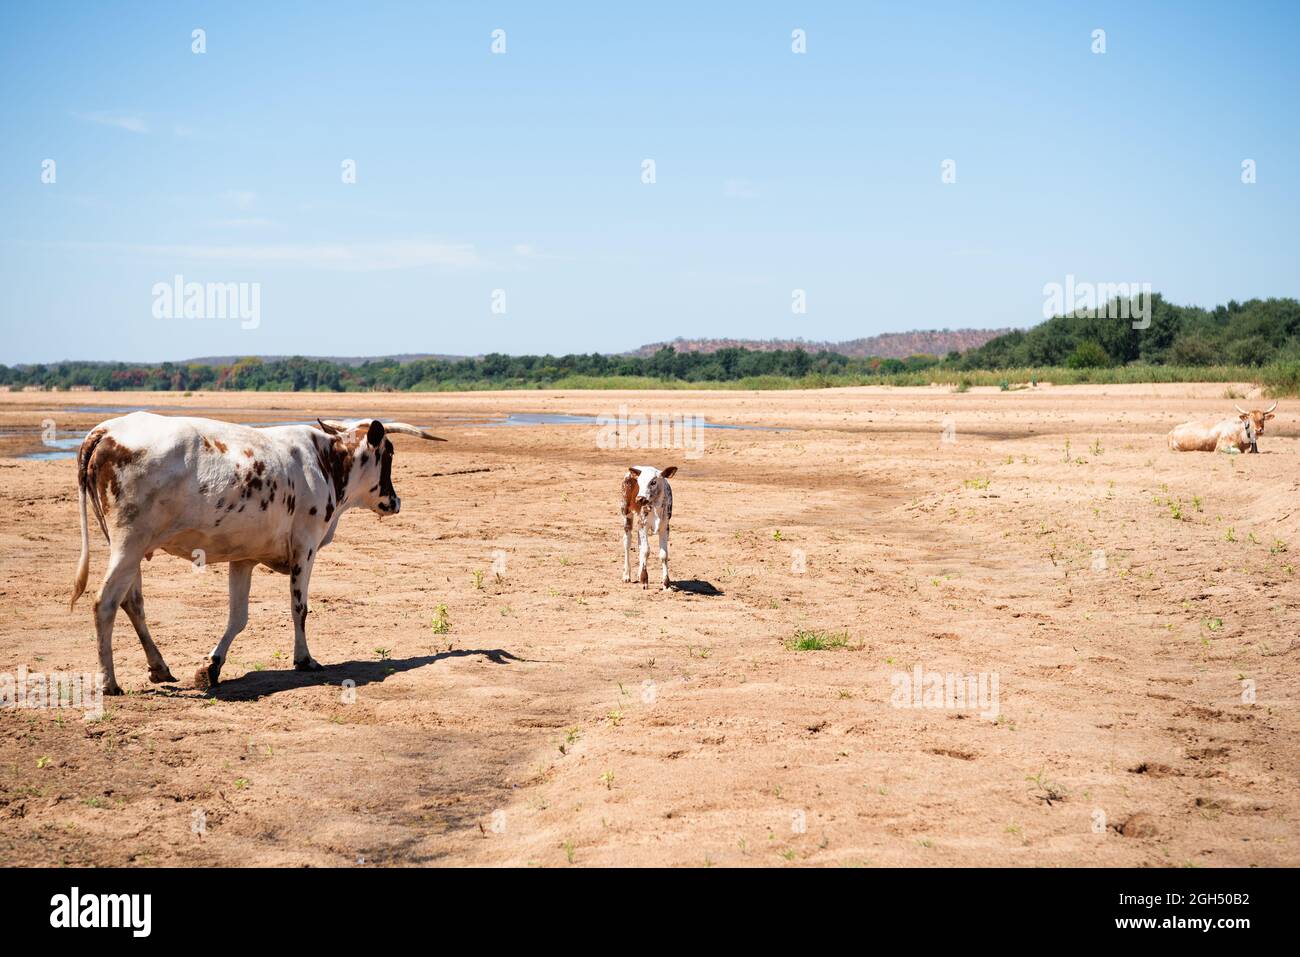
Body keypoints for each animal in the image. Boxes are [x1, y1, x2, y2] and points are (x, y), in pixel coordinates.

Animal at [71, 408, 447, 691]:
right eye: (390, 453)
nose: (395, 502)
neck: (327, 462)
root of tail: (105, 430)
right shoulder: (305, 547)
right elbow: (299, 608)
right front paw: (304, 659)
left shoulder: (244, 558)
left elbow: (238, 618)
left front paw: (212, 666)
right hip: (129, 544)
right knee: (105, 603)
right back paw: (109, 682)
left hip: (128, 548)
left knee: (132, 603)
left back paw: (159, 666)